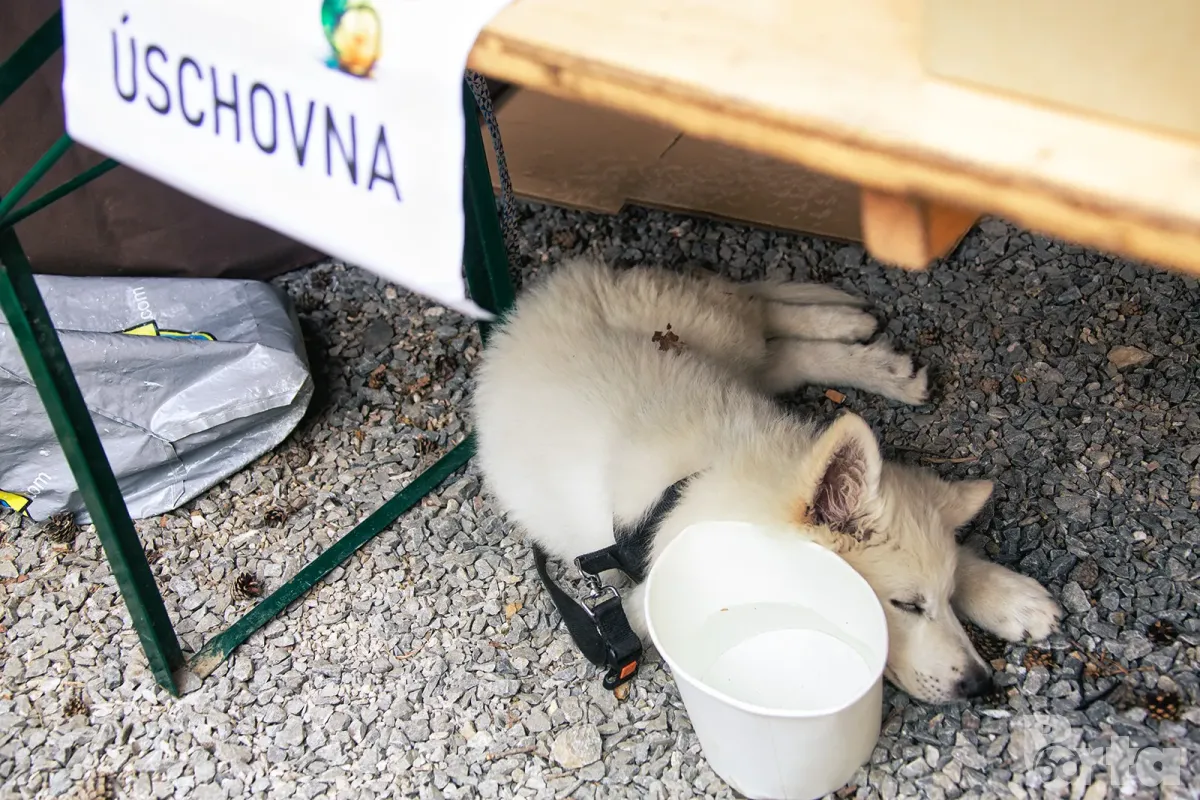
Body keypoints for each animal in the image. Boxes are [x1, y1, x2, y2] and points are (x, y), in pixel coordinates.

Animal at [471, 256, 1063, 704]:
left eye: (943, 596)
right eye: (907, 607)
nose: (980, 684)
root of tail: (527, 308)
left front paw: (1011, 598)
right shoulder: (643, 605)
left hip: (716, 338)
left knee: (762, 312)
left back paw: (857, 337)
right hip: (716, 340)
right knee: (769, 325)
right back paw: (858, 339)